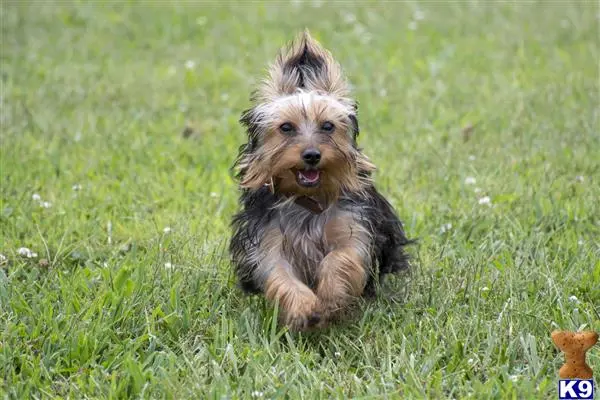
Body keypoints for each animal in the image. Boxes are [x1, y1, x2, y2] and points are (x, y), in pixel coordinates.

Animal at [227, 30, 410, 332]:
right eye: (286, 127)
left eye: (328, 126)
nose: (312, 155)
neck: (309, 198)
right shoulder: (268, 240)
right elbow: (279, 274)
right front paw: (304, 309)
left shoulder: (353, 226)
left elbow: (342, 257)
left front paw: (331, 295)